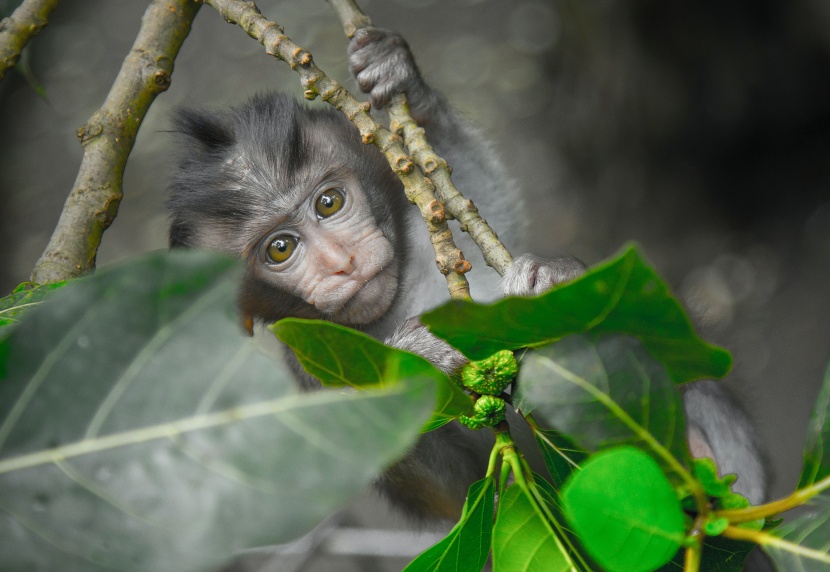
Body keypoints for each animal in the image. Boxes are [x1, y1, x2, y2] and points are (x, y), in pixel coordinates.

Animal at [167, 25, 768, 520]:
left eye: (330, 203)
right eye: (280, 250)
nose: (341, 263)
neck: (399, 299)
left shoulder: (421, 228)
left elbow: (477, 197)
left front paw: (401, 75)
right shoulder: (307, 370)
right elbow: (453, 494)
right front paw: (416, 358)